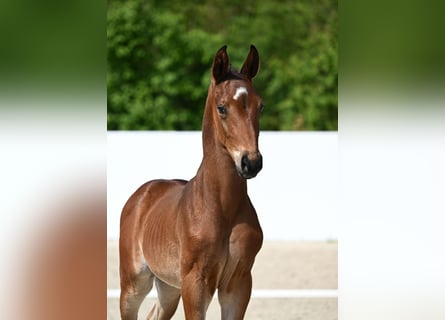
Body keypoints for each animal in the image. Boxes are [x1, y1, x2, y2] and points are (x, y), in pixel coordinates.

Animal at [119, 45, 264, 320]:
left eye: (260, 106)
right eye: (221, 107)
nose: (251, 162)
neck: (221, 206)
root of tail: (142, 193)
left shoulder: (239, 282)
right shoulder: (195, 283)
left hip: (168, 287)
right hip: (134, 284)